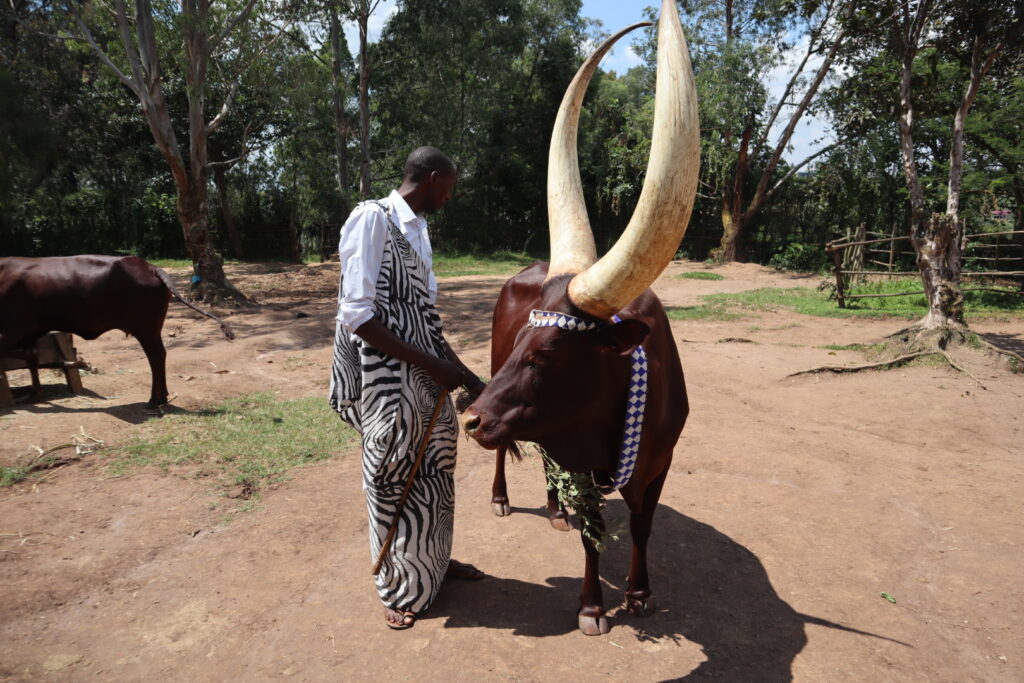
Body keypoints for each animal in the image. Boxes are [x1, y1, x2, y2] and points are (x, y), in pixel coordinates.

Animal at [0, 254, 234, 405]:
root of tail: (149, 267)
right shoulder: (29, 333)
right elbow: (32, 359)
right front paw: (35, 393)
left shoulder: (13, 329)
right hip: (152, 329)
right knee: (161, 355)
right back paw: (163, 396)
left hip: (145, 329)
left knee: (156, 357)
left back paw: (154, 399)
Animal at [462, 0, 696, 638]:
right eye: (521, 341)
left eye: (547, 354)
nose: (470, 419)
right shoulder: (585, 468)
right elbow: (594, 539)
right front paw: (592, 606)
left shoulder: (658, 464)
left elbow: (641, 527)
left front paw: (639, 593)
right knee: (508, 455)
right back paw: (507, 497)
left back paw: (552, 507)